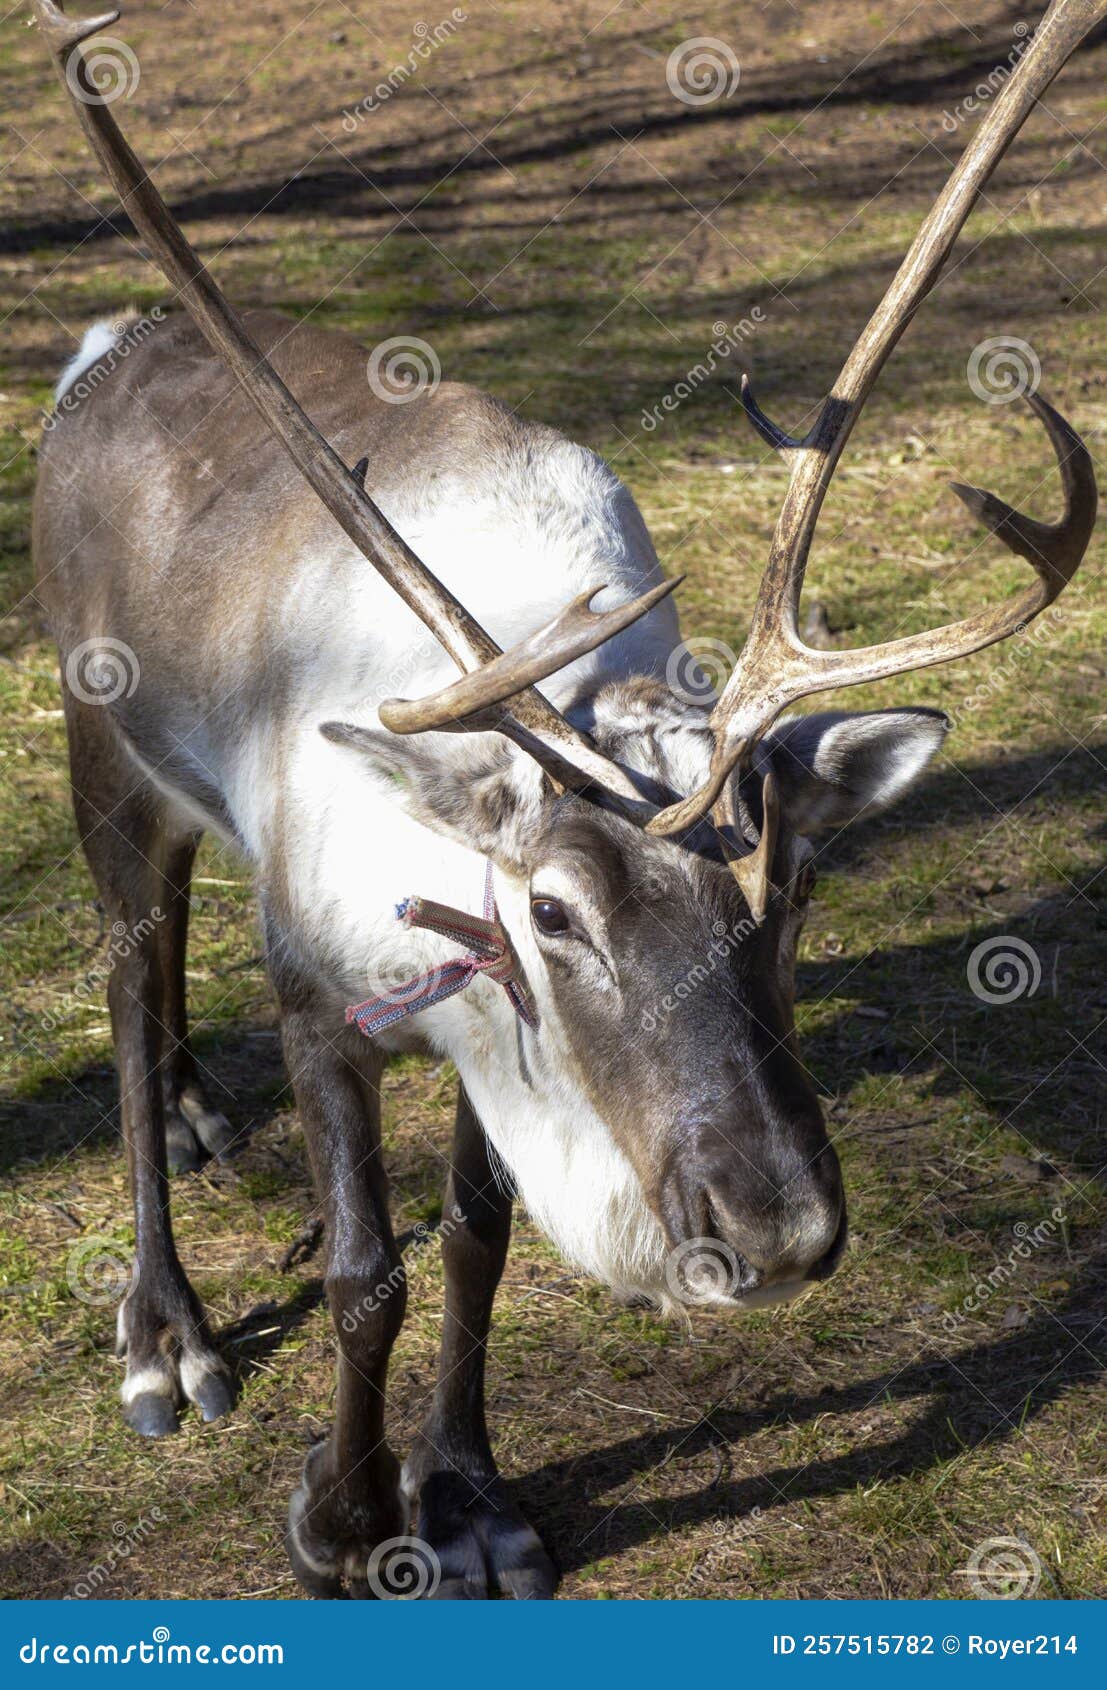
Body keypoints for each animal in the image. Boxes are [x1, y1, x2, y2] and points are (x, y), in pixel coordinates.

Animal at [30, 0, 1099, 1599]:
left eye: (791, 886)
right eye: (551, 910)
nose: (776, 1226)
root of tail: (107, 345)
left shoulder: (494, 1041)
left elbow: (474, 1239)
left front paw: (465, 1495)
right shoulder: (317, 990)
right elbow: (365, 1272)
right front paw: (342, 1515)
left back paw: (201, 1114)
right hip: (102, 747)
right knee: (124, 979)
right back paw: (164, 1330)